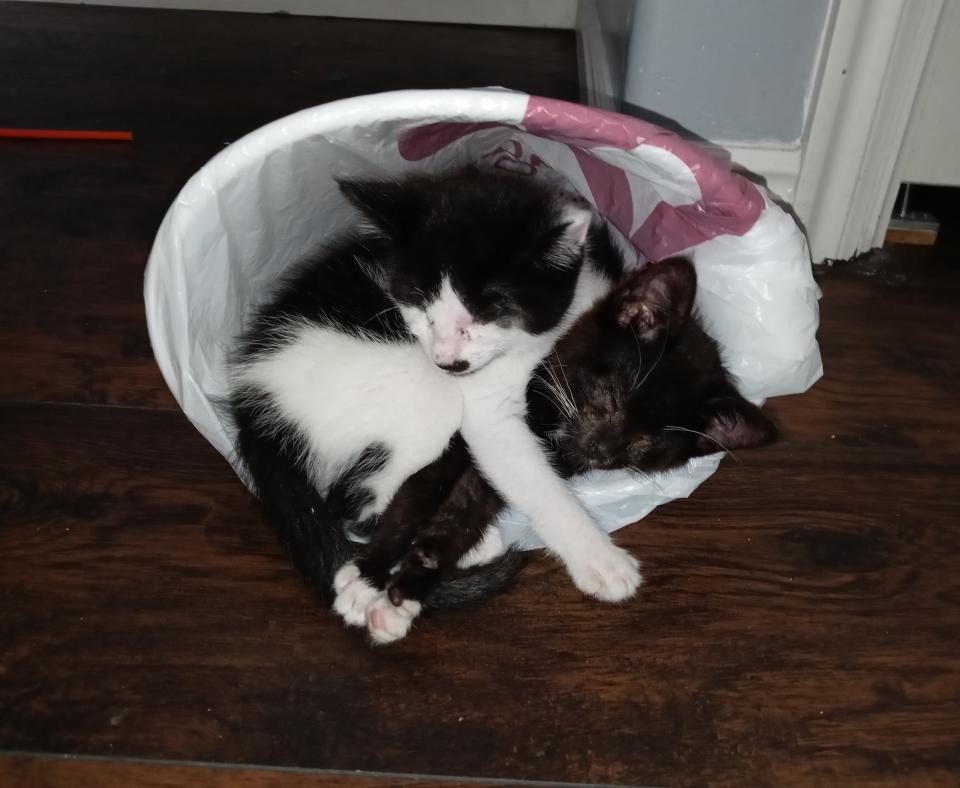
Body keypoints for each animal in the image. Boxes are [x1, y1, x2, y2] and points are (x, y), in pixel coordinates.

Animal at [228, 165, 636, 608]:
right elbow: (529, 476)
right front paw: (600, 561)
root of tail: (252, 393)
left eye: (493, 310)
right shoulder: (486, 409)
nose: (446, 360)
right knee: (349, 500)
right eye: (420, 304)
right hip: (409, 393)